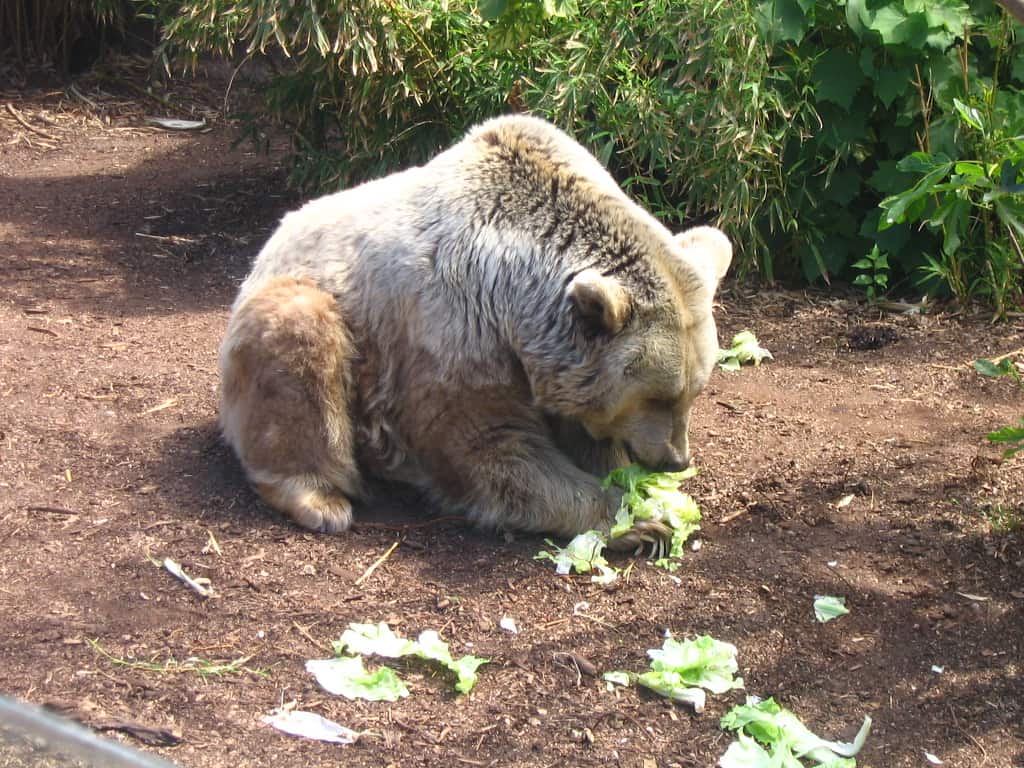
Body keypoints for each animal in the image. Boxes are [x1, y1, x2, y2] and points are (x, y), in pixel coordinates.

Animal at [220, 114, 733, 548]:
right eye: (658, 396)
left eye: (694, 391)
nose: (674, 459)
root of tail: (266, 246)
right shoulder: (456, 334)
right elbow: (488, 448)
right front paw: (637, 521)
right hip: (307, 317)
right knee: (299, 347)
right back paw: (320, 499)